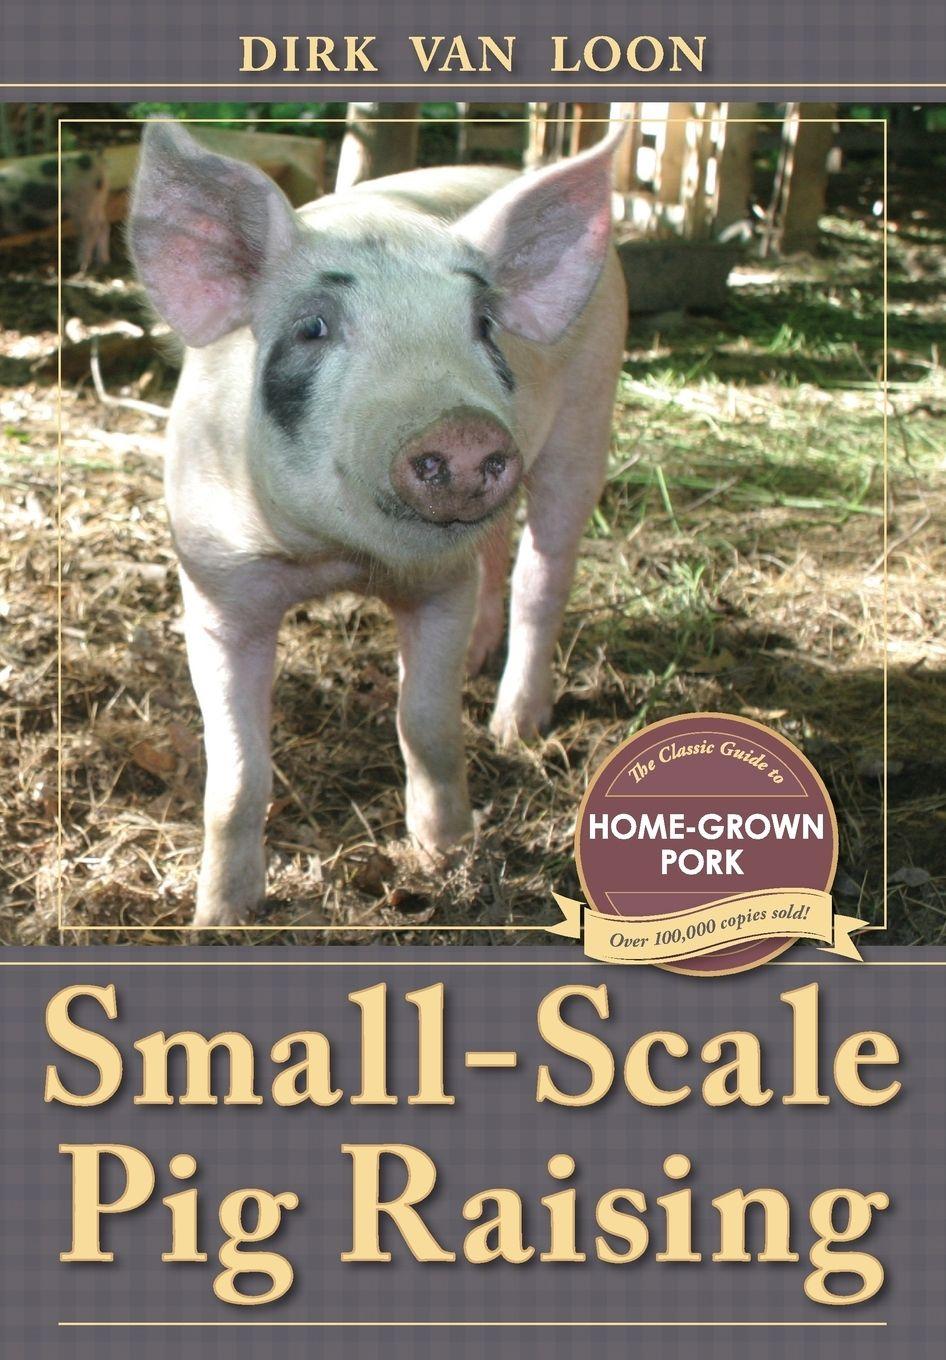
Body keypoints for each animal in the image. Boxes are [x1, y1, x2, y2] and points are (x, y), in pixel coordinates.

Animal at [128, 119, 628, 927]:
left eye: (482, 324)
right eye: (314, 327)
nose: (462, 430)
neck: (336, 559)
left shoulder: (439, 584)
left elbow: (425, 725)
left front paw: (448, 855)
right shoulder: (214, 585)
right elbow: (236, 775)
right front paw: (219, 919)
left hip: (589, 414)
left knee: (543, 569)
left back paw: (514, 727)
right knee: (497, 552)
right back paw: (480, 665)